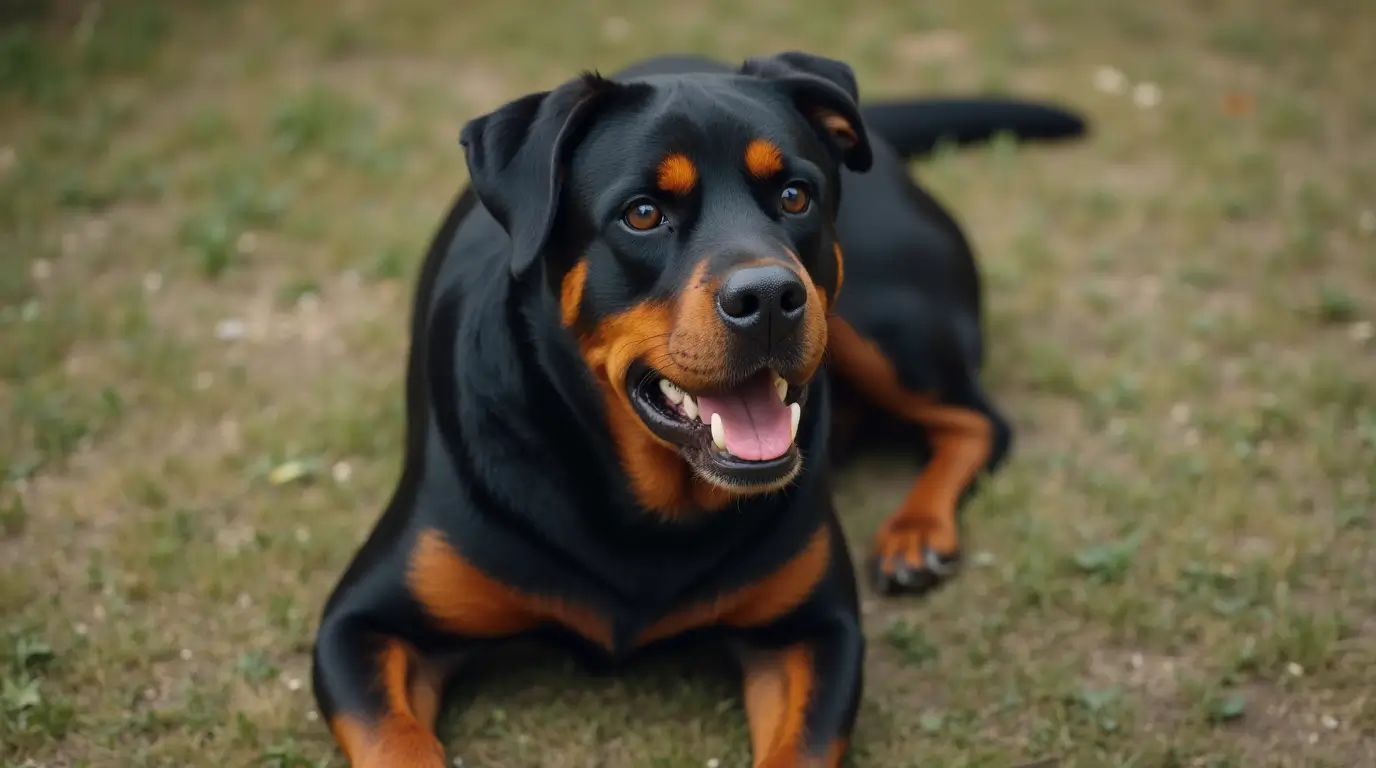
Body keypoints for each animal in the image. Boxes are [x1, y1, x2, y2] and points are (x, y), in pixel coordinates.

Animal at [312, 51, 1084, 765]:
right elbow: (397, 744)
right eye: (643, 214)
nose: (768, 297)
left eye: (796, 196)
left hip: (887, 322)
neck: (645, 505)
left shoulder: (816, 629)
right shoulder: (359, 623)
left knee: (978, 420)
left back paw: (916, 532)